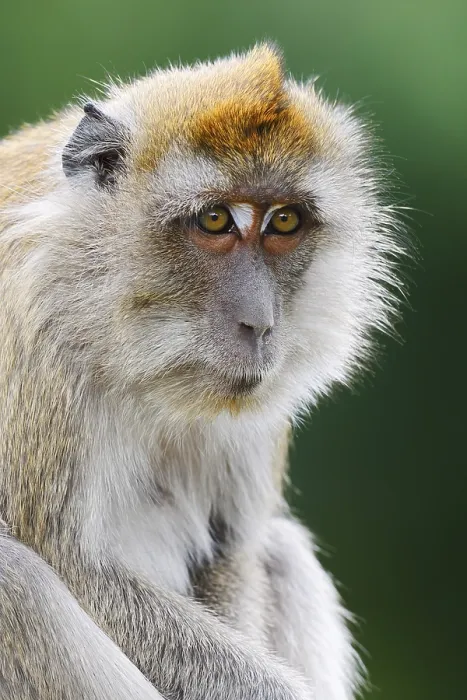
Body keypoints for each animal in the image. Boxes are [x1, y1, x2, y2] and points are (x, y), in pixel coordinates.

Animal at [0, 44, 404, 700]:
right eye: (215, 220)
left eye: (284, 223)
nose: (260, 323)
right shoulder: (38, 346)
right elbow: (76, 570)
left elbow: (232, 549)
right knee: (14, 584)